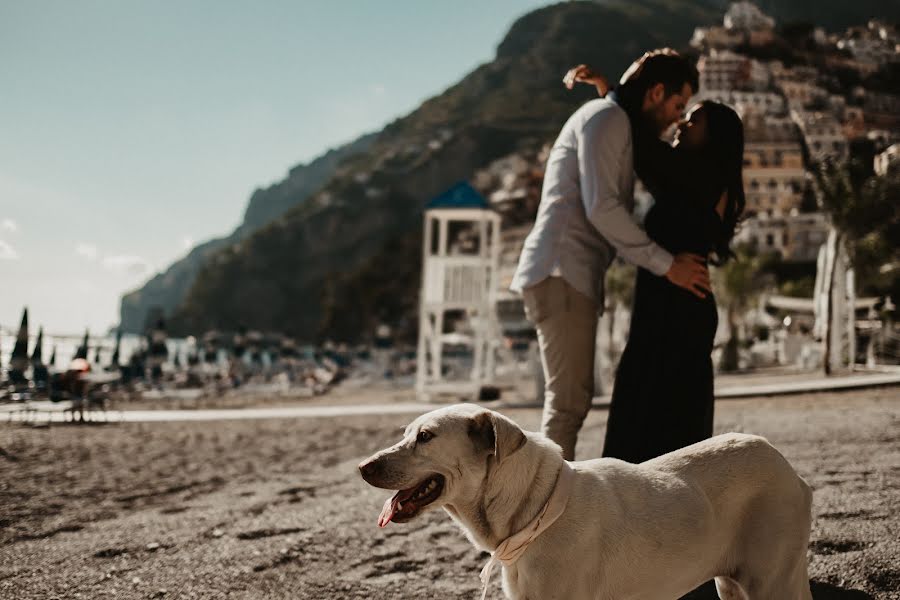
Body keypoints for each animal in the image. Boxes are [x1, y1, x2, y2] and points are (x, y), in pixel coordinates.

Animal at [358, 404, 816, 600]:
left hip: (772, 584)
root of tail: (789, 469)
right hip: (733, 585)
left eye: (426, 437)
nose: (363, 467)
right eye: (407, 433)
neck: (534, 511)